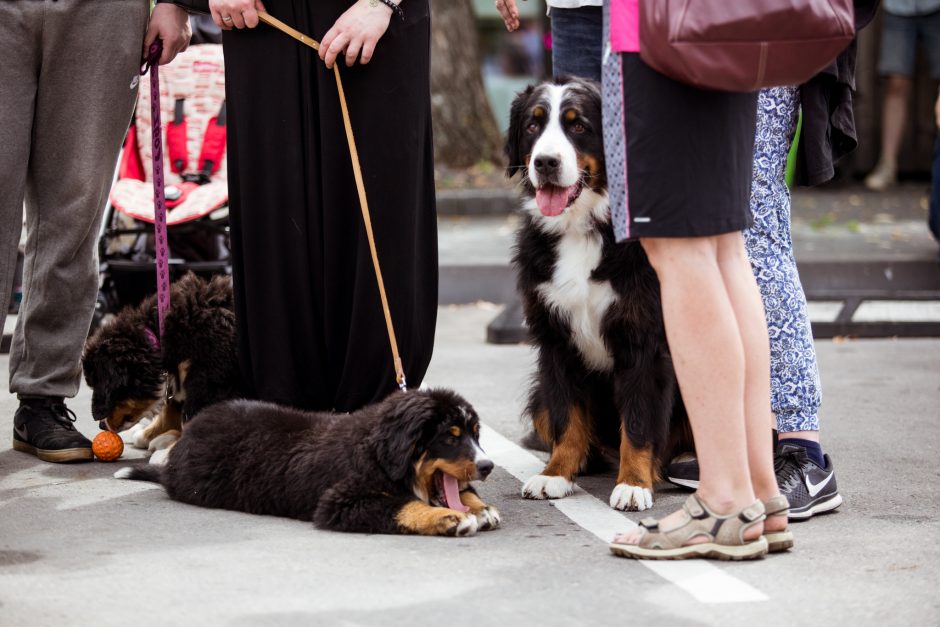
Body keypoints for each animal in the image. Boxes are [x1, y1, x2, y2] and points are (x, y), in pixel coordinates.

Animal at [118, 390, 504, 536]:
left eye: (475, 434)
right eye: (450, 437)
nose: (487, 467)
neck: (375, 452)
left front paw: (479, 507)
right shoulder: (339, 501)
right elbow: (402, 504)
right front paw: (448, 518)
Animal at [506, 76, 692, 512]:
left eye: (578, 125)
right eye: (533, 125)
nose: (545, 163)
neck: (582, 229)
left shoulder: (643, 340)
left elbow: (638, 422)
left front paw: (634, 483)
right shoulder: (555, 340)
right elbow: (567, 417)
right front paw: (555, 474)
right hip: (538, 393)